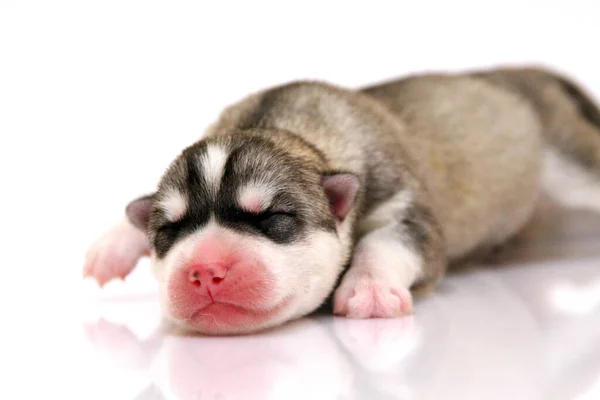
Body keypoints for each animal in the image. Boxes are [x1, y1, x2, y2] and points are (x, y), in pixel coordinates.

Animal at [83, 66, 600, 334]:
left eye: (272, 217)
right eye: (169, 230)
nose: (204, 271)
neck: (279, 125)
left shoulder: (401, 197)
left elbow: (392, 239)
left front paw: (368, 286)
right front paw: (115, 242)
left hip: (567, 153)